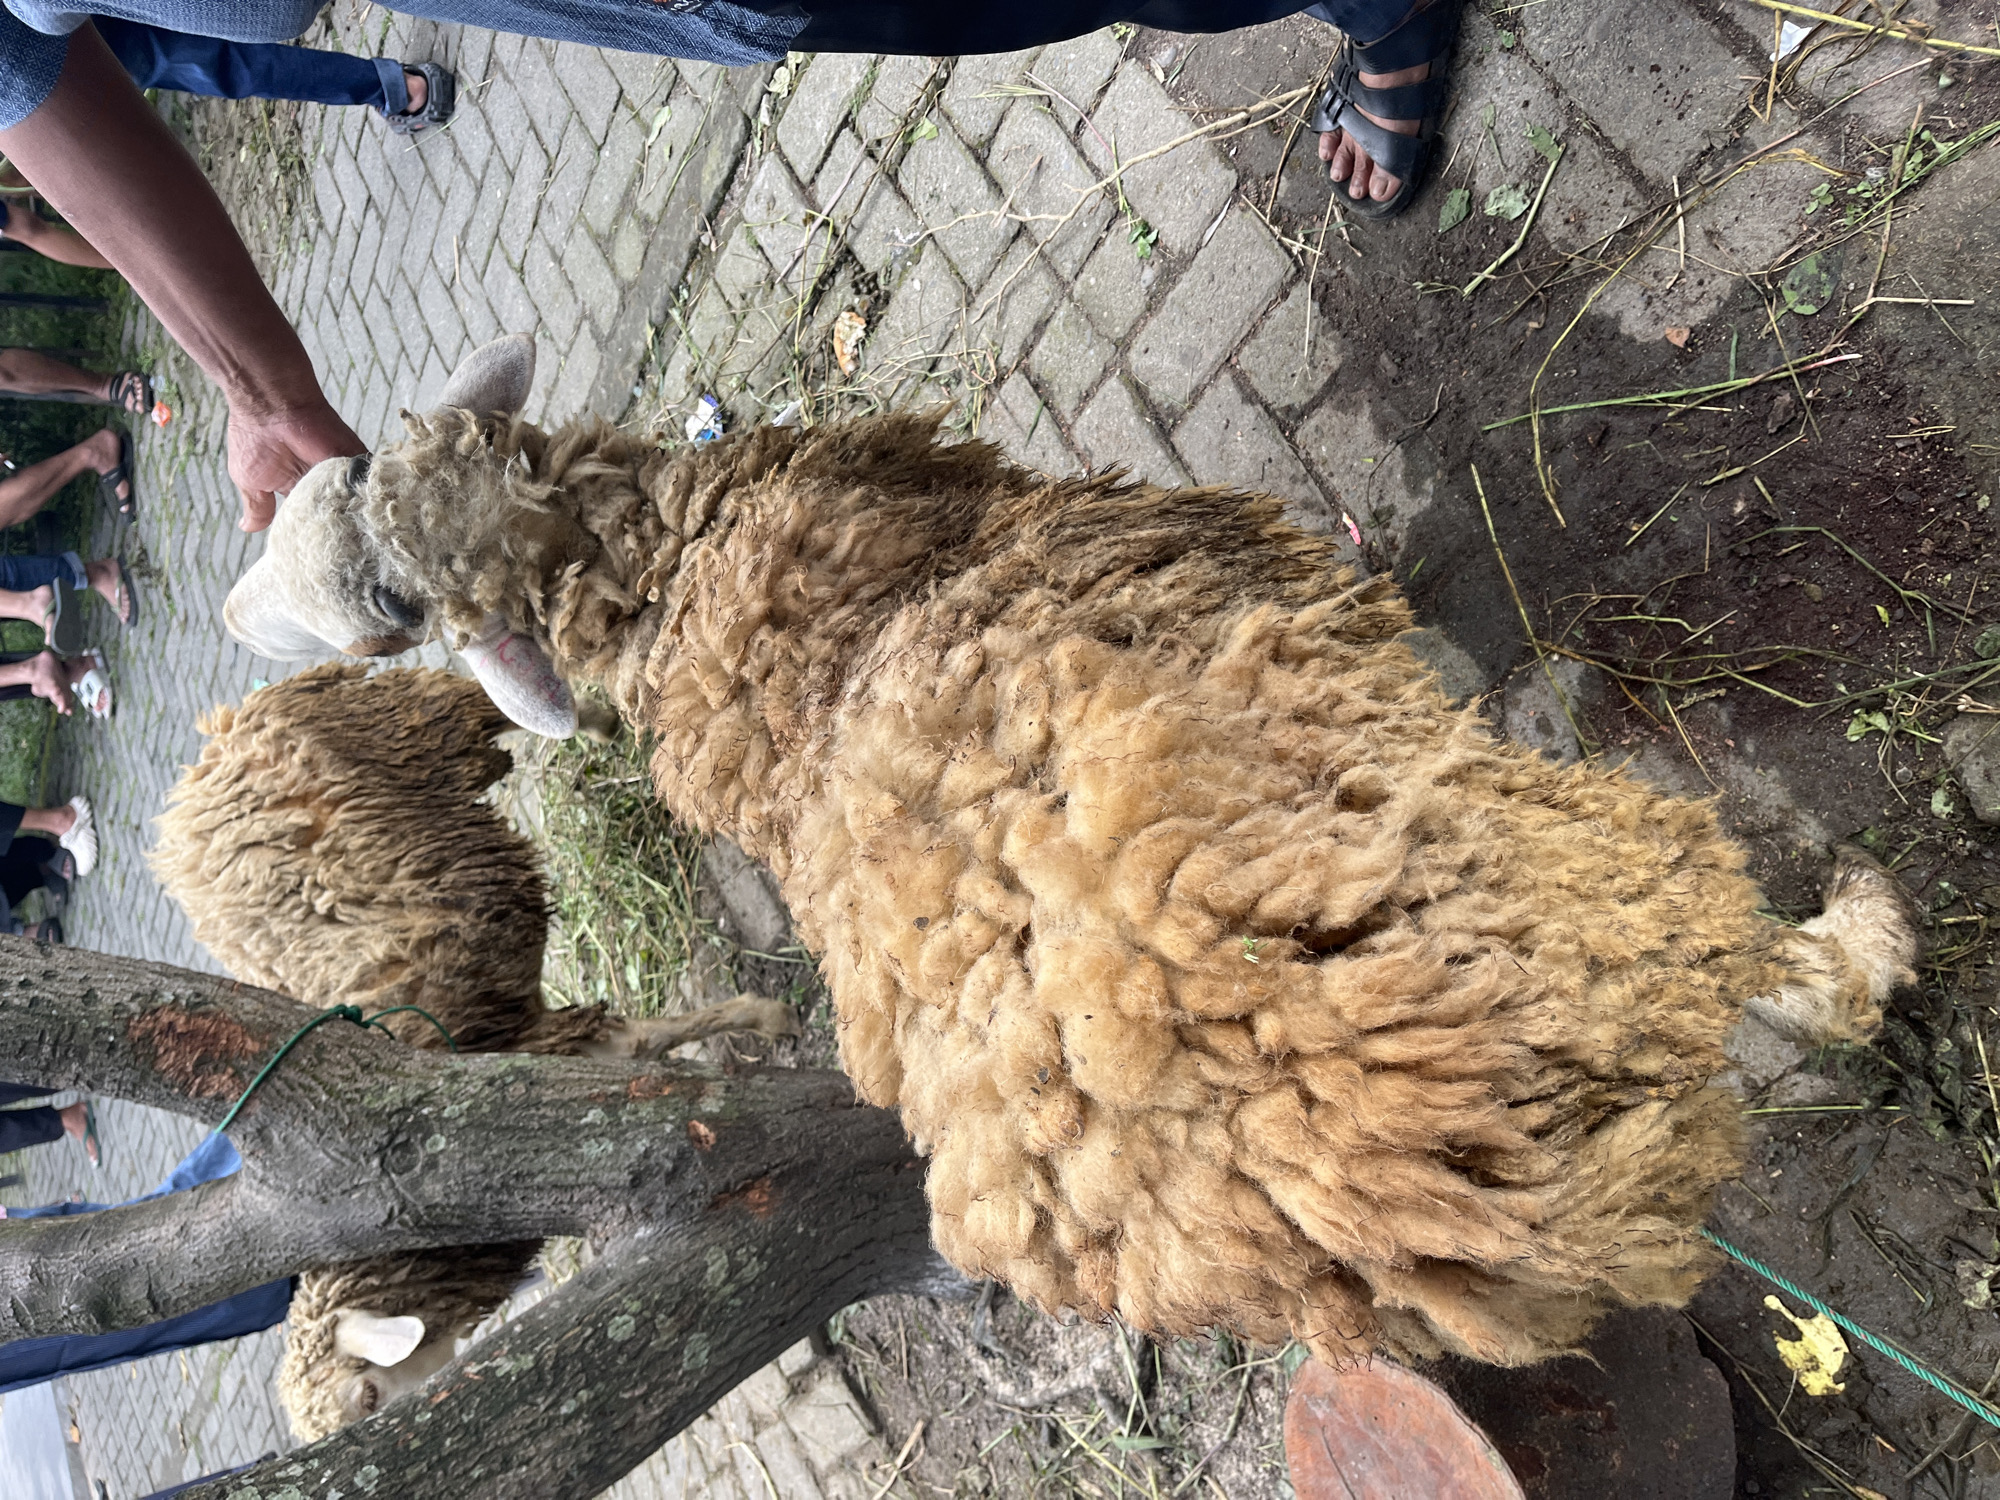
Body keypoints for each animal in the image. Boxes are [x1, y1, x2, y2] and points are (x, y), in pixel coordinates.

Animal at [150, 660, 799, 1436]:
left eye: (367, 1395)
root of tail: (211, 746)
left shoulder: (551, 1047)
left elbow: (663, 1033)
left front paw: (768, 1019)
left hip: (418, 719)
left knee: (485, 700)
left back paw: (600, 723)